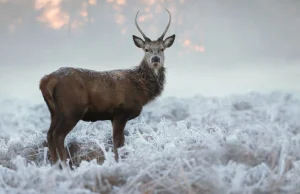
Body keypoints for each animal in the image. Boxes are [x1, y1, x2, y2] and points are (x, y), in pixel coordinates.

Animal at [39, 9, 176, 167]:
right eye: (146, 49)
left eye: (162, 49)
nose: (155, 59)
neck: (141, 90)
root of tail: (46, 80)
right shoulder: (121, 112)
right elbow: (117, 143)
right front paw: (119, 163)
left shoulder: (114, 116)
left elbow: (120, 143)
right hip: (72, 109)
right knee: (58, 135)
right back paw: (65, 166)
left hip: (55, 111)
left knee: (49, 134)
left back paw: (55, 167)